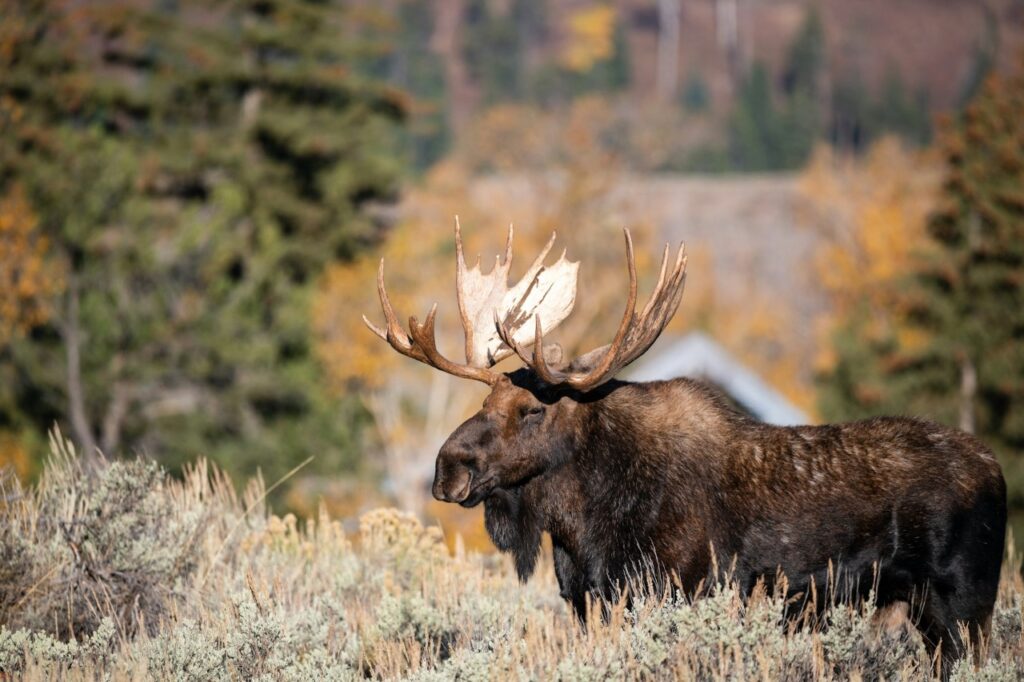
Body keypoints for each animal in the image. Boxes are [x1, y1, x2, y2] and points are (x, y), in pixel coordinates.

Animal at [363, 223, 1006, 669]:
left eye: (533, 410)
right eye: (483, 402)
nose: (447, 468)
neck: (582, 525)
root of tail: (997, 470)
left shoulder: (683, 590)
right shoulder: (588, 600)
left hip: (964, 602)